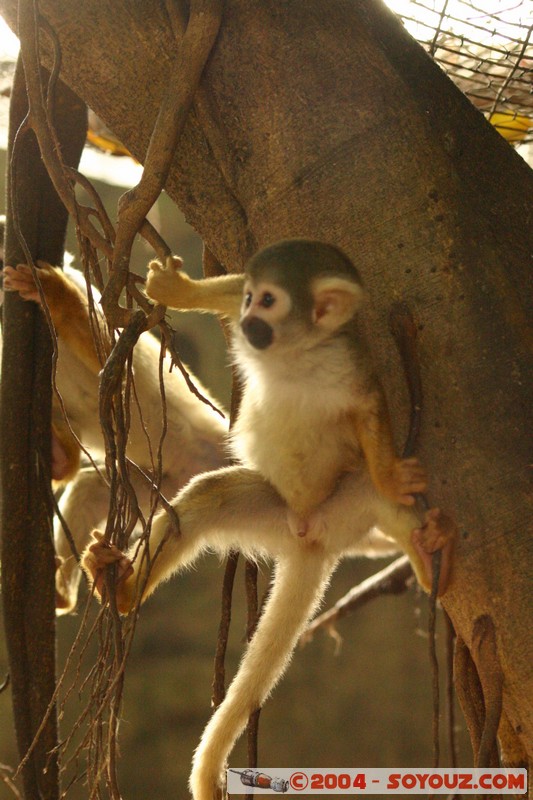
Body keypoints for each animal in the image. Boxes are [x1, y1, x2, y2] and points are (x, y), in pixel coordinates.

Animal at [2, 259, 228, 612]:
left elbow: (118, 370)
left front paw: (54, 296)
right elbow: (67, 457)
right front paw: (57, 455)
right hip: (161, 487)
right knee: (90, 491)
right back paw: (71, 591)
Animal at [82, 239, 456, 800]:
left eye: (270, 301)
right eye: (251, 297)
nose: (249, 320)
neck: (294, 356)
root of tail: (311, 538)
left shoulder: (350, 364)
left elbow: (371, 410)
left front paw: (392, 474)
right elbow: (222, 291)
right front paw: (181, 290)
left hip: (347, 504)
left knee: (381, 498)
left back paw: (428, 553)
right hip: (275, 511)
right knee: (205, 500)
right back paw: (122, 591)